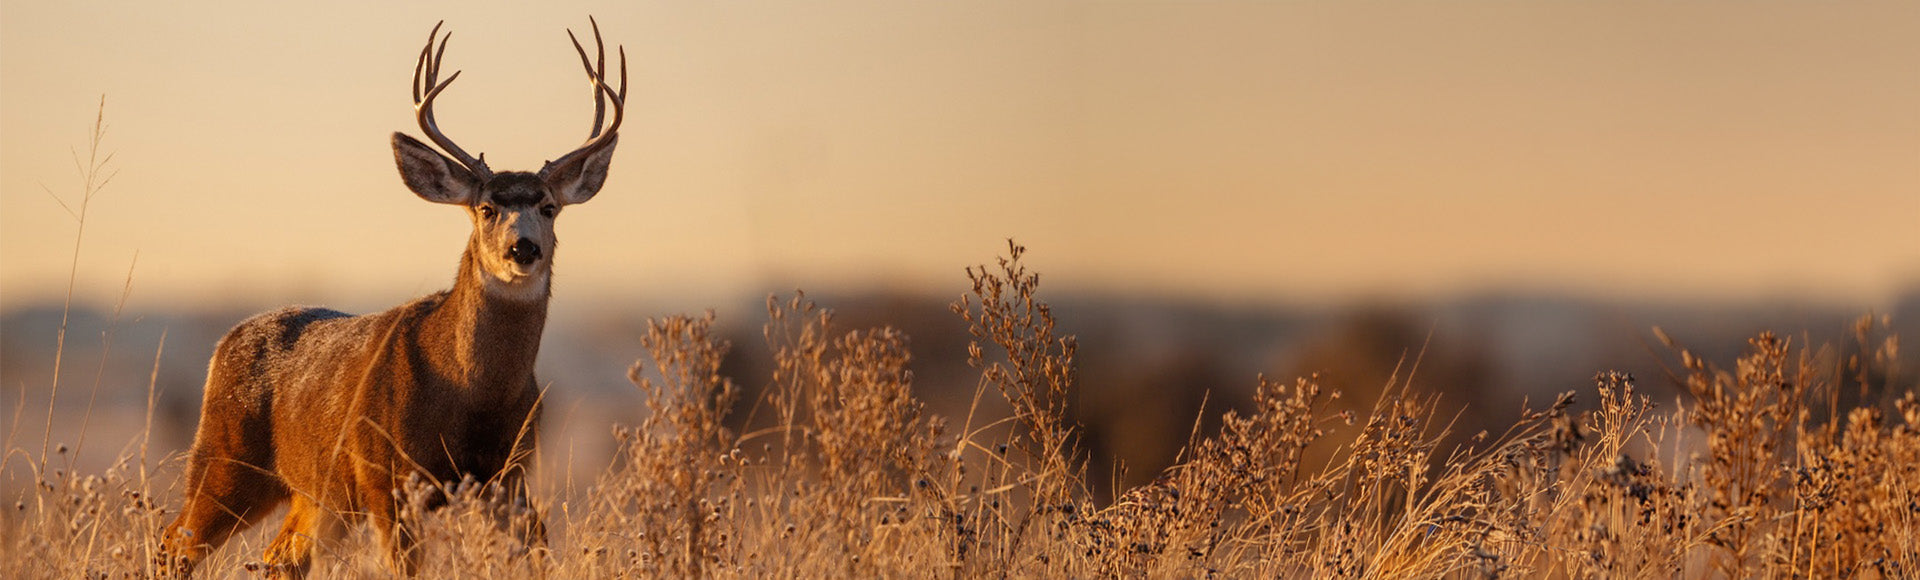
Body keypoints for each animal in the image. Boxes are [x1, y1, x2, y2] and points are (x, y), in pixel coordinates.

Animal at [157, 19, 625, 578]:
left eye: (550, 207)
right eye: (485, 208)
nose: (523, 248)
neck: (471, 394)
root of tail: (224, 344)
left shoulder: (509, 475)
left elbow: (535, 551)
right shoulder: (387, 474)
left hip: (316, 492)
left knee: (278, 555)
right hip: (224, 459)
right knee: (175, 540)